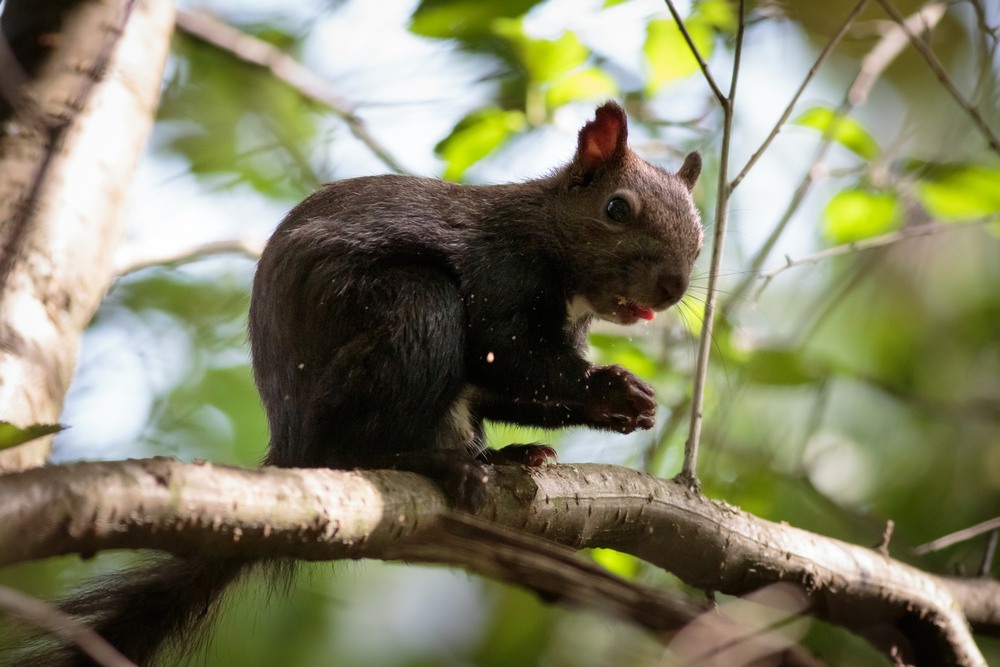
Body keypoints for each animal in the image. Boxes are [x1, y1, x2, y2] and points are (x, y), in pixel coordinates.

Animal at [17, 102, 704, 664]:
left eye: (699, 240)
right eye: (616, 208)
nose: (672, 287)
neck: (549, 242)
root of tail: (292, 449)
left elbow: (509, 390)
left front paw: (623, 409)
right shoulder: (499, 278)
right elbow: (511, 361)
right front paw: (610, 390)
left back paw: (504, 455)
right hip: (406, 318)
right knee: (360, 442)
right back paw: (434, 462)